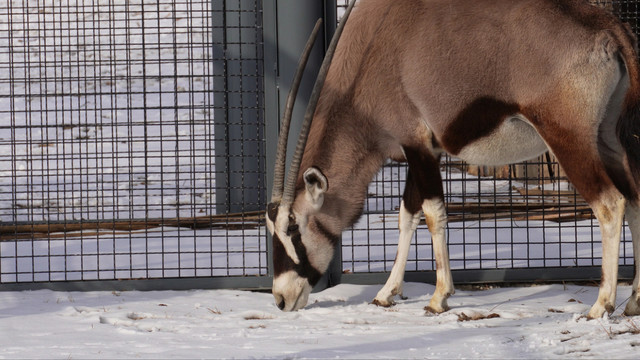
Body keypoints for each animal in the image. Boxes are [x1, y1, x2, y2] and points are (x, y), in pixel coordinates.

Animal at [264, 0, 640, 318]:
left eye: (292, 226)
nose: (281, 299)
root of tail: (608, 28)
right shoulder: (422, 150)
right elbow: (407, 216)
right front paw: (386, 293)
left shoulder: (416, 144)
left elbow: (432, 214)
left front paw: (438, 297)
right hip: (607, 140)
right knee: (634, 200)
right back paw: (634, 301)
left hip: (568, 139)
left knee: (610, 204)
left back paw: (600, 305)